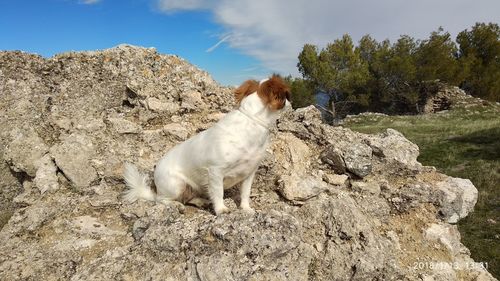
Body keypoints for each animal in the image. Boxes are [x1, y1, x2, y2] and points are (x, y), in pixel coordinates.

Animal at [122, 74, 292, 214]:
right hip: (176, 185)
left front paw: (246, 209)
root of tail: (155, 188)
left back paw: (201, 201)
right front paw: (221, 209)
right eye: (286, 97)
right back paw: (176, 205)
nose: (290, 102)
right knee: (162, 200)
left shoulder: (249, 173)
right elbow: (218, 192)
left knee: (188, 198)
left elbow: (245, 193)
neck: (252, 120)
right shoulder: (215, 171)